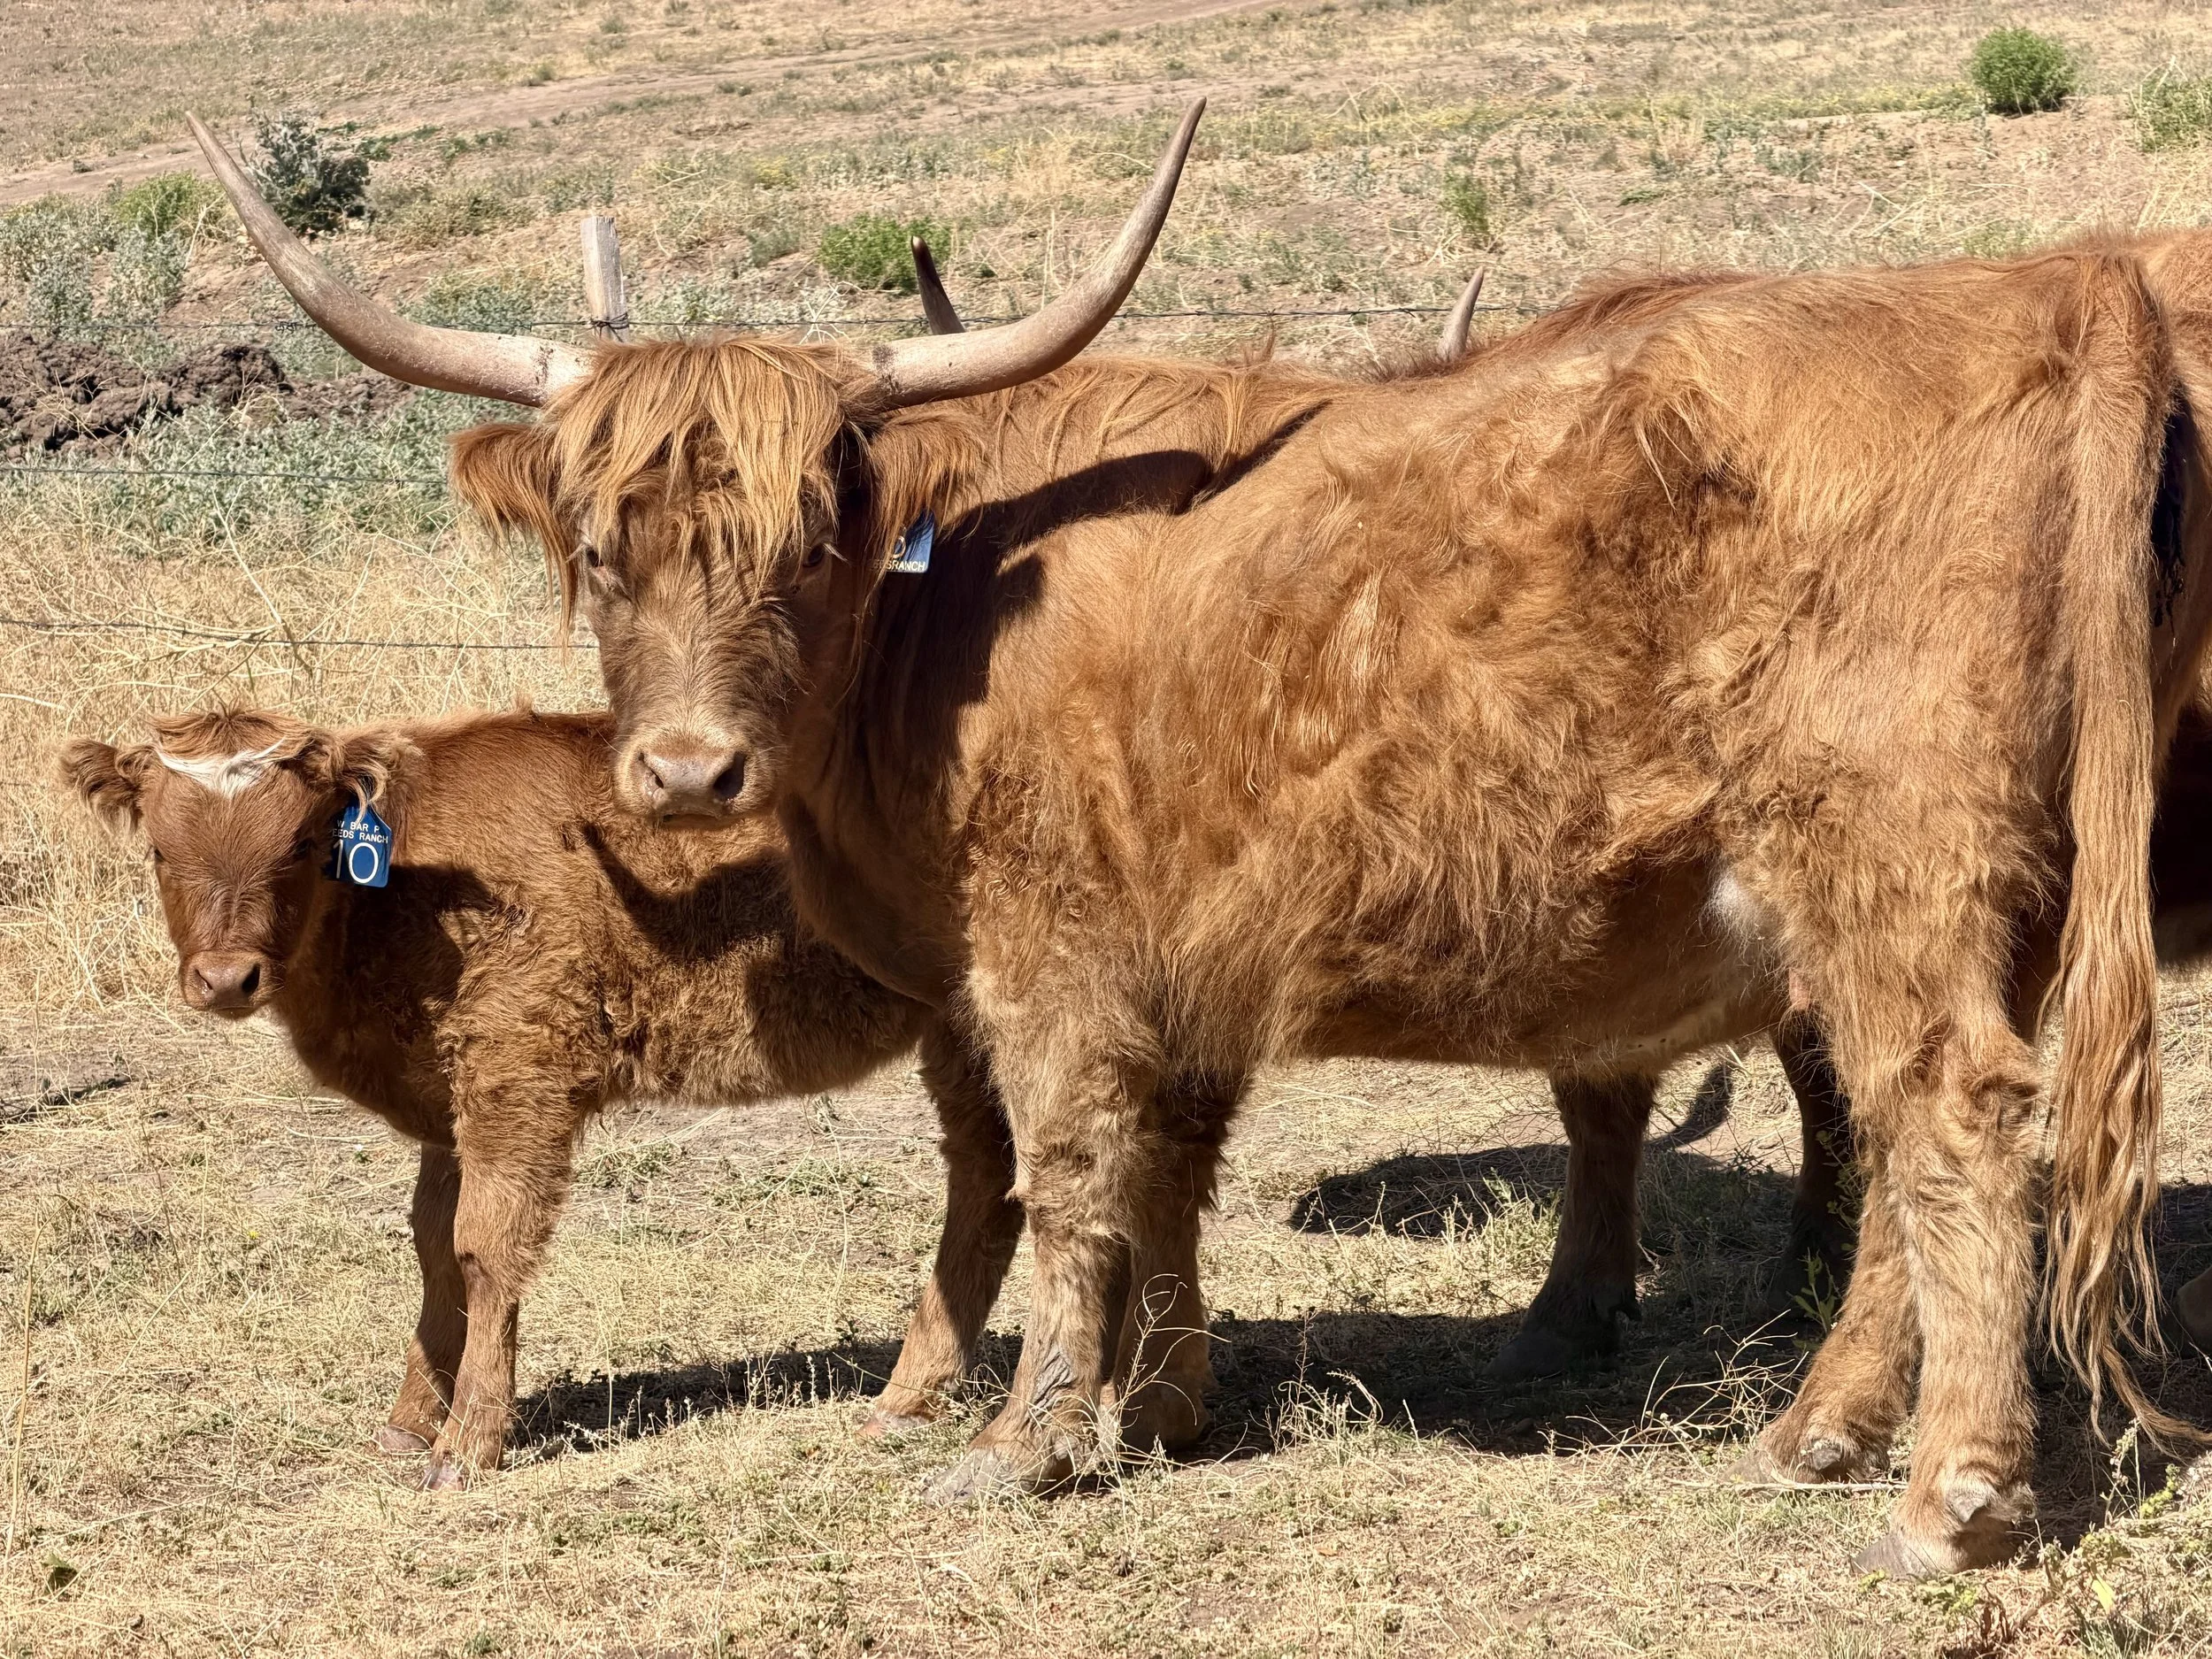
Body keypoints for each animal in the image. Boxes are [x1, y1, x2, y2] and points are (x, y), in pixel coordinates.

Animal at [61, 703, 1029, 1485]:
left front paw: (465, 1447)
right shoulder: (447, 1104)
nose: (227, 978)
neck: (412, 890)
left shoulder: (517, 1079)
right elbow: (431, 1245)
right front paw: (409, 1423)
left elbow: (484, 1248)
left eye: (301, 844)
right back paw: (911, 1399)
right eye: (159, 847)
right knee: (990, 1183)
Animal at [193, 104, 2212, 1579]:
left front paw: (1031, 1437)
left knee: (1954, 1121)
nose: (685, 776)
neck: (939, 622)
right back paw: (1822, 1428)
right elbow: (1164, 1172)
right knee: (1904, 1136)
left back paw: (1949, 1494)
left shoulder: (1049, 955)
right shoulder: (1186, 953)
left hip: (1887, 863)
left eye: (805, 541)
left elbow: (1068, 1174)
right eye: (602, 551)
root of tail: (2040, 293)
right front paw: (1163, 1404)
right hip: (1972, 898)